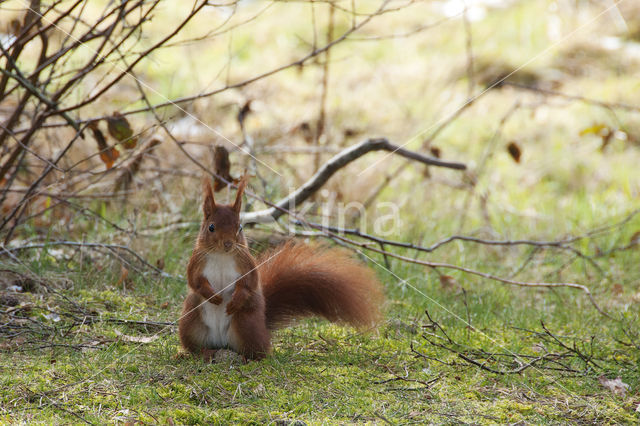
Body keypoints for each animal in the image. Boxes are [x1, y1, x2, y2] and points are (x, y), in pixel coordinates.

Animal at [178, 176, 382, 360]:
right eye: (211, 227)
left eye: (240, 227)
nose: (228, 244)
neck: (222, 255)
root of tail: (222, 343)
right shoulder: (197, 261)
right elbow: (194, 282)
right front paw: (213, 296)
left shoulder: (246, 263)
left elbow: (249, 284)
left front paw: (235, 300)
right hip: (191, 322)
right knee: (195, 347)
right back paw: (200, 352)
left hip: (245, 323)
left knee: (258, 352)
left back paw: (245, 357)